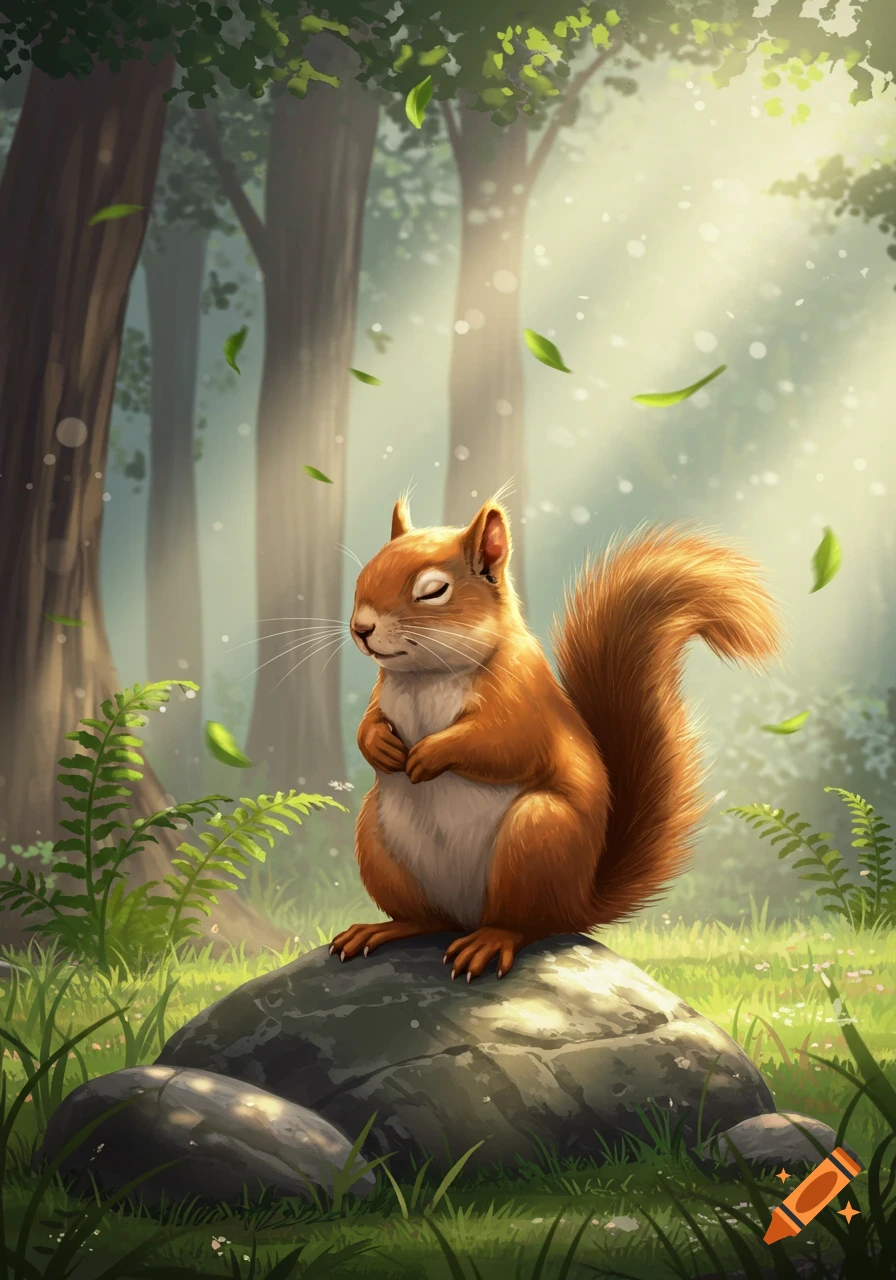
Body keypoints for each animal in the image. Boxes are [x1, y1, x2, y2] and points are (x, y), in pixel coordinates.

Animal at [330, 494, 780, 982]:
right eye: (364, 576)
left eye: (433, 591)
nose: (361, 628)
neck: (425, 677)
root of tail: (578, 903)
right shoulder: (382, 694)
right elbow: (368, 723)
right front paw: (379, 744)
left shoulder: (524, 698)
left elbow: (504, 745)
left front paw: (431, 753)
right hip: (377, 845)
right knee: (427, 920)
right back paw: (384, 929)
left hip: (536, 837)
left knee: (525, 925)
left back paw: (490, 942)